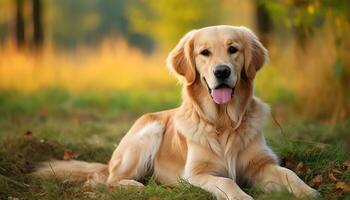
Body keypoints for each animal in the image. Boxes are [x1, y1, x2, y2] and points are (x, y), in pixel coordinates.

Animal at [36, 25, 320, 199]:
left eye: (233, 49)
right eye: (204, 53)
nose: (222, 71)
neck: (224, 122)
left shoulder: (261, 165)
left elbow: (289, 174)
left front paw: (309, 192)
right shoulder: (197, 173)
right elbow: (227, 181)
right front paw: (241, 196)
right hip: (149, 131)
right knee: (111, 180)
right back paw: (137, 186)